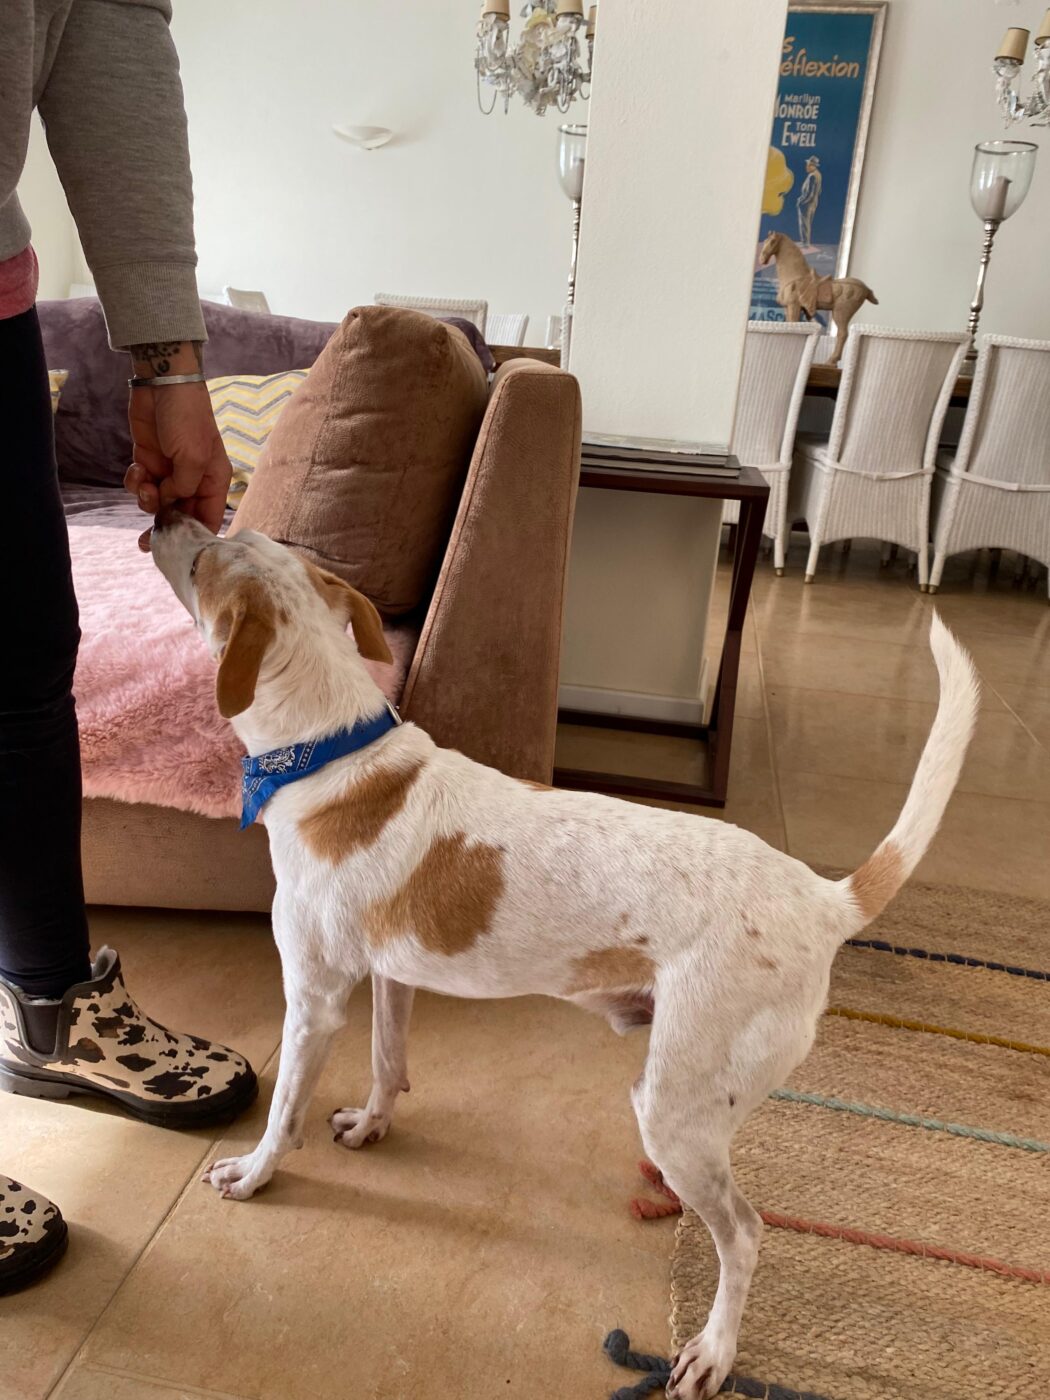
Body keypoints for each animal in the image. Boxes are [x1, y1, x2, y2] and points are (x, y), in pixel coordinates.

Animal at [150, 510, 978, 1400]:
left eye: (204, 556)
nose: (163, 514)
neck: (330, 753)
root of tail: (825, 899)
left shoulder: (313, 999)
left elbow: (283, 1111)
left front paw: (255, 1173)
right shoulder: (391, 979)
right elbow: (387, 1064)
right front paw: (373, 1124)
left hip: (673, 1111)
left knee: (747, 1234)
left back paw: (715, 1350)